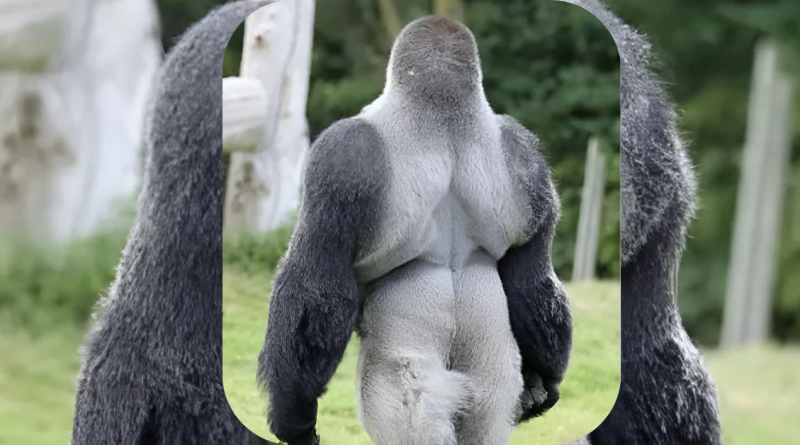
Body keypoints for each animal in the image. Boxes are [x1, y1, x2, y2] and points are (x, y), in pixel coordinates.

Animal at [257, 14, 571, 445]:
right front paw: (544, 384)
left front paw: (292, 414)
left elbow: (316, 287)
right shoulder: (528, 156)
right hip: (492, 371)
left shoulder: (339, 154)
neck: (445, 113)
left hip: (409, 369)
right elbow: (530, 278)